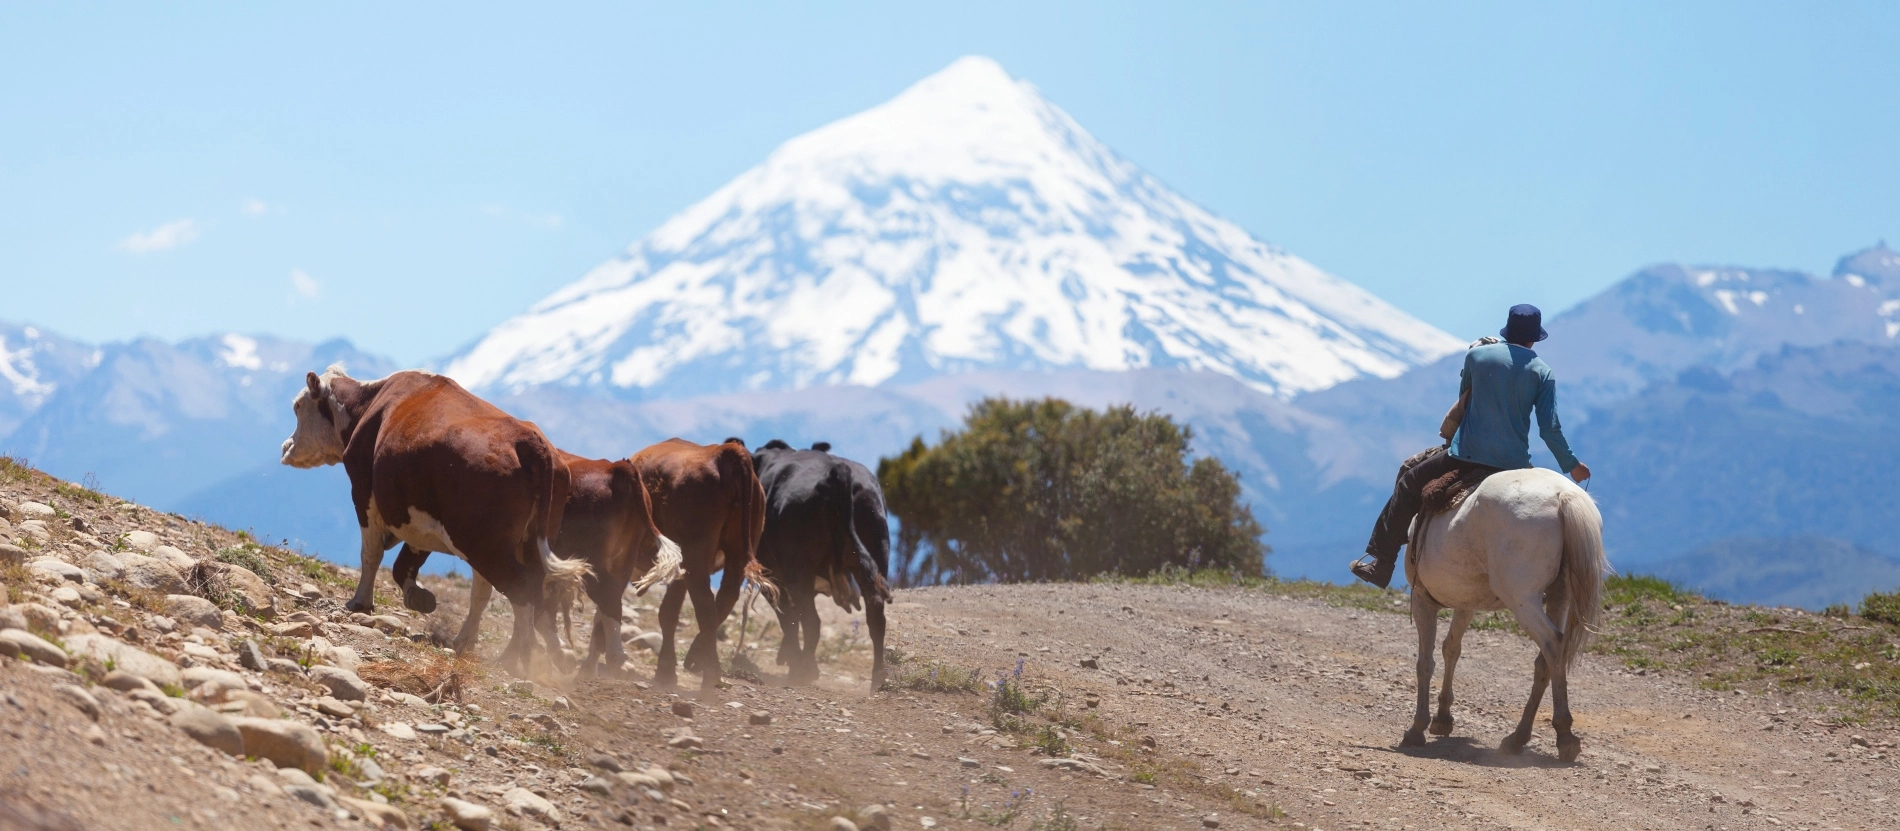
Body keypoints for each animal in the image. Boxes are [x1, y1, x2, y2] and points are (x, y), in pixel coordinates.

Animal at [279, 367, 585, 673]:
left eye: (297, 406)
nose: (285, 446)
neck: (369, 404)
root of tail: (529, 441)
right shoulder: (419, 521)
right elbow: (405, 566)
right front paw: (422, 599)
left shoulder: (364, 494)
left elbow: (372, 554)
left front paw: (361, 602)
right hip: (522, 542)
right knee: (535, 587)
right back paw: (545, 652)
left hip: (482, 543)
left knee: (519, 586)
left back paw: (514, 656)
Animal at [638, 437, 771, 695]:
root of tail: (722, 452)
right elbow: (669, 611)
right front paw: (666, 670)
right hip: (735, 551)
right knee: (724, 599)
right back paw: (695, 659)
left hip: (696, 553)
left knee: (705, 605)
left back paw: (710, 675)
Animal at [748, 441, 889, 688]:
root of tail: (838, 473)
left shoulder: (771, 575)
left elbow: (788, 617)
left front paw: (791, 657)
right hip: (876, 557)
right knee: (876, 614)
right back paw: (877, 679)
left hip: (798, 572)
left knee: (811, 621)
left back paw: (804, 670)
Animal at [1413, 465, 1603, 756]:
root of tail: (1563, 495)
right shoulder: (1466, 602)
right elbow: (1451, 649)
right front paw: (1442, 718)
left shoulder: (1422, 599)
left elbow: (1425, 662)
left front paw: (1416, 729)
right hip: (1560, 595)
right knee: (1545, 660)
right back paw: (1519, 736)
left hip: (1522, 599)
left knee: (1553, 643)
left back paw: (1564, 734)